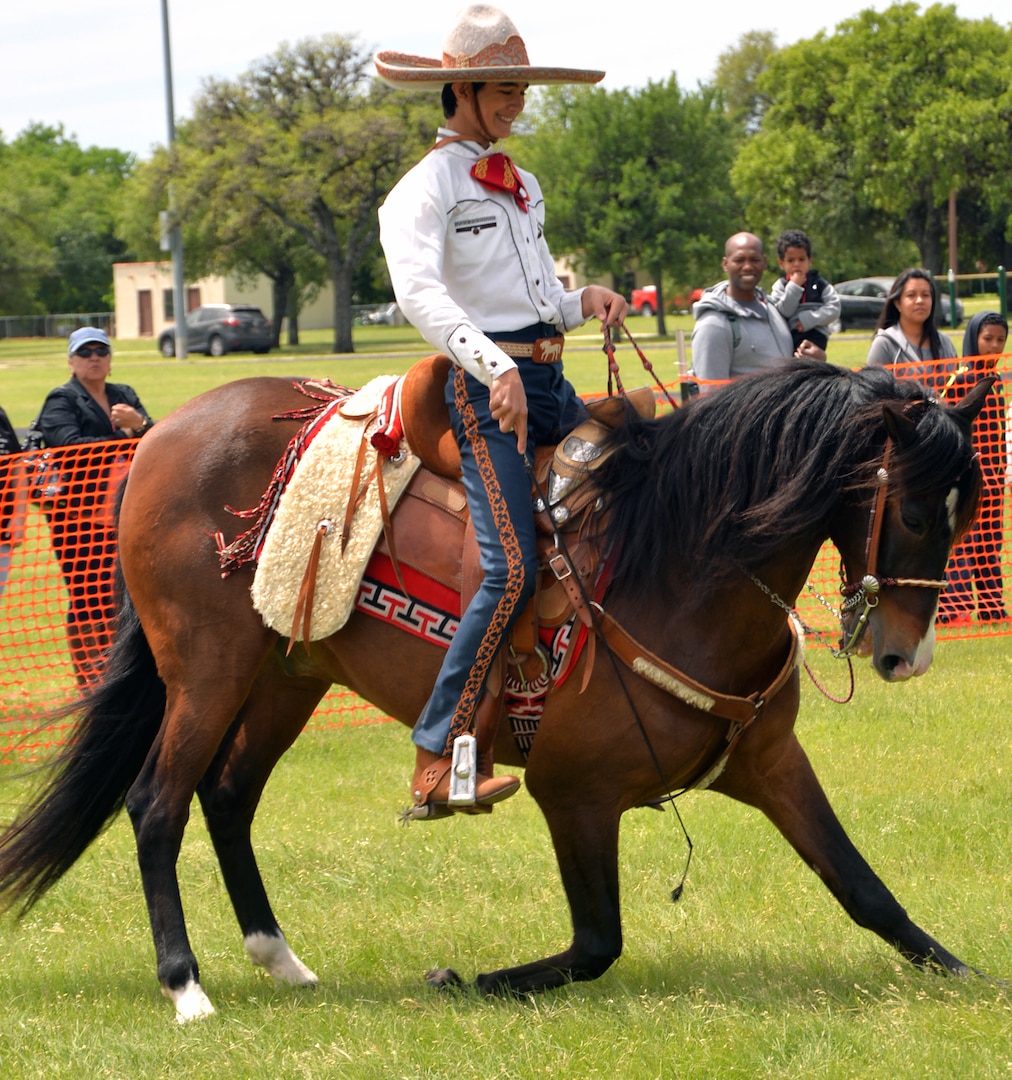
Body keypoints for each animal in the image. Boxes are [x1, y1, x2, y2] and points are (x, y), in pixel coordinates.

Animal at [0, 360, 989, 1019]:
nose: (908, 657)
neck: (676, 567)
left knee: (228, 795)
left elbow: (865, 888)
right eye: (908, 511)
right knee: (158, 805)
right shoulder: (573, 793)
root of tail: (155, 440)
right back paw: (186, 985)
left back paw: (280, 960)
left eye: (966, 514)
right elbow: (596, 944)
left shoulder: (772, 762)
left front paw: (967, 974)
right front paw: (460, 979)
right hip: (206, 671)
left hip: (288, 674)